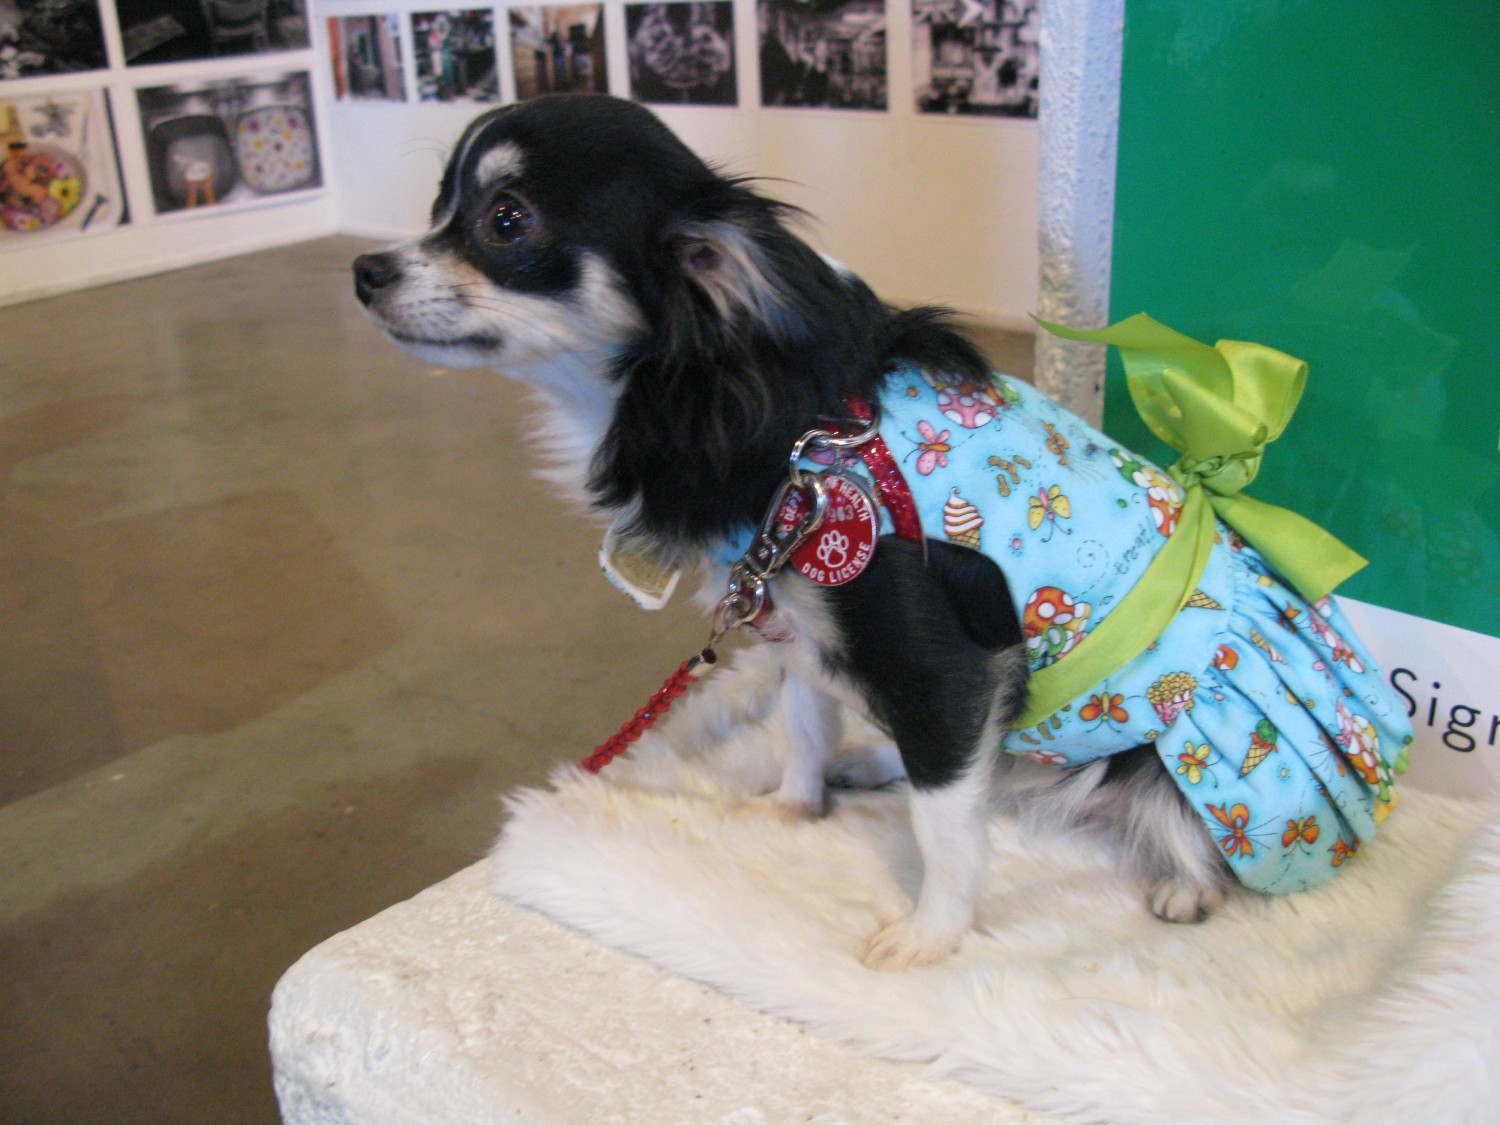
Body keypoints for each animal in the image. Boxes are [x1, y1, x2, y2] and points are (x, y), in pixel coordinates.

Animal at [354, 93, 1410, 969]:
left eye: (505, 221)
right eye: (439, 206)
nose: (366, 267)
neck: (783, 423)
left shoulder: (939, 660)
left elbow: (946, 825)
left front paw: (934, 933)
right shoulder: (791, 612)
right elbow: (803, 719)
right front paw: (796, 808)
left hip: (1191, 750)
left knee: (1142, 810)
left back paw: (1187, 883)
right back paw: (873, 760)